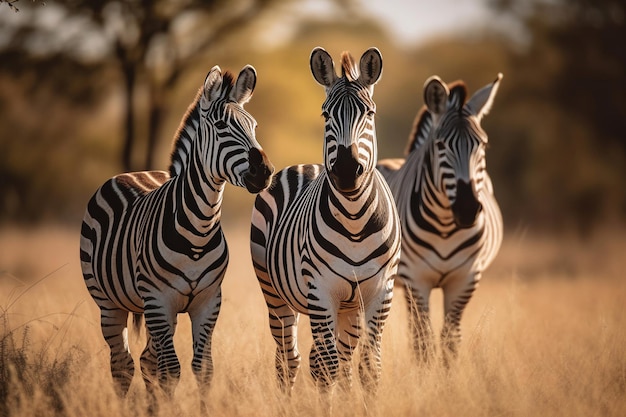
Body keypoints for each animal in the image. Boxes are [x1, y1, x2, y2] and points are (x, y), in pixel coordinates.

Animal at [78, 64, 272, 396]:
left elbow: (203, 369)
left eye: (254, 126)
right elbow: (171, 371)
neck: (199, 229)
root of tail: (131, 173)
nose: (265, 172)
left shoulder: (208, 302)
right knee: (122, 364)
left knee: (146, 361)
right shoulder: (159, 301)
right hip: (109, 303)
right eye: (221, 126)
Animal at [249, 47, 400, 392]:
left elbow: (368, 368)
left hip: (349, 309)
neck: (355, 219)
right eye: (326, 115)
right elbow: (329, 368)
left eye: (369, 113)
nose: (345, 169)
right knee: (290, 361)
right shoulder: (321, 291)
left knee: (333, 361)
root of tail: (305, 165)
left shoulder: (380, 293)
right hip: (275, 293)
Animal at [376, 74, 502, 364]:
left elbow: (450, 341)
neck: (445, 225)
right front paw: (425, 376)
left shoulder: (465, 279)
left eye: (483, 144)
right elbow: (424, 344)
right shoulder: (416, 280)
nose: (467, 209)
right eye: (441, 145)